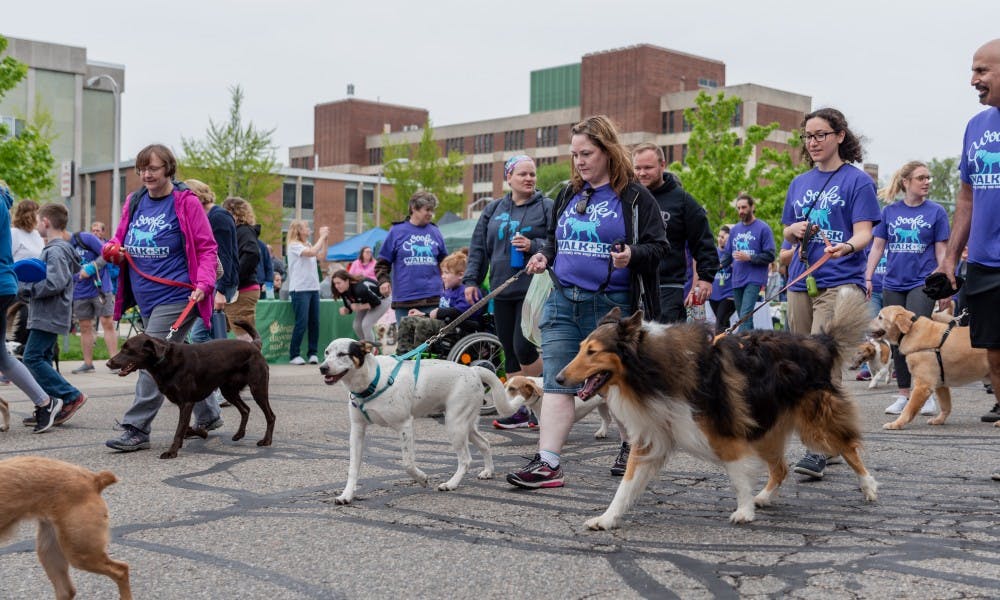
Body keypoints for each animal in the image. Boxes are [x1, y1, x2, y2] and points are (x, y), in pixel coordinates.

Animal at [106, 322, 274, 458]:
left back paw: (266, 440)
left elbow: (180, 429)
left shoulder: (186, 403)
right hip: (229, 390)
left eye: (128, 350)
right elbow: (186, 428)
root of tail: (254, 346)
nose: (108, 363)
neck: (164, 360)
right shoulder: (184, 404)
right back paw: (239, 434)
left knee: (270, 416)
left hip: (257, 388)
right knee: (245, 409)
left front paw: (172, 452)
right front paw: (201, 433)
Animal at [320, 340, 512, 504]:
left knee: (465, 459)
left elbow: (408, 464)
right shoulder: (357, 430)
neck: (372, 379)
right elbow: (353, 468)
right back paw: (488, 471)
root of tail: (473, 370)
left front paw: (422, 479)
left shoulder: (405, 426)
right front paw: (346, 495)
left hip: (455, 424)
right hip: (466, 424)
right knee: (485, 443)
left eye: (342, 354)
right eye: (326, 352)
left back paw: (451, 484)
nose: (322, 368)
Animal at [560, 290, 880, 528]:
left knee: (849, 448)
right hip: (765, 428)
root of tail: (820, 341)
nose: (559, 379)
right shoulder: (653, 435)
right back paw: (764, 497)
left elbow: (736, 474)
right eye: (581, 347)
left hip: (815, 422)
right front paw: (606, 519)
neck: (651, 366)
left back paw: (869, 487)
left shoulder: (723, 431)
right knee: (781, 468)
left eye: (593, 352)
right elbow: (625, 485)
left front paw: (744, 511)